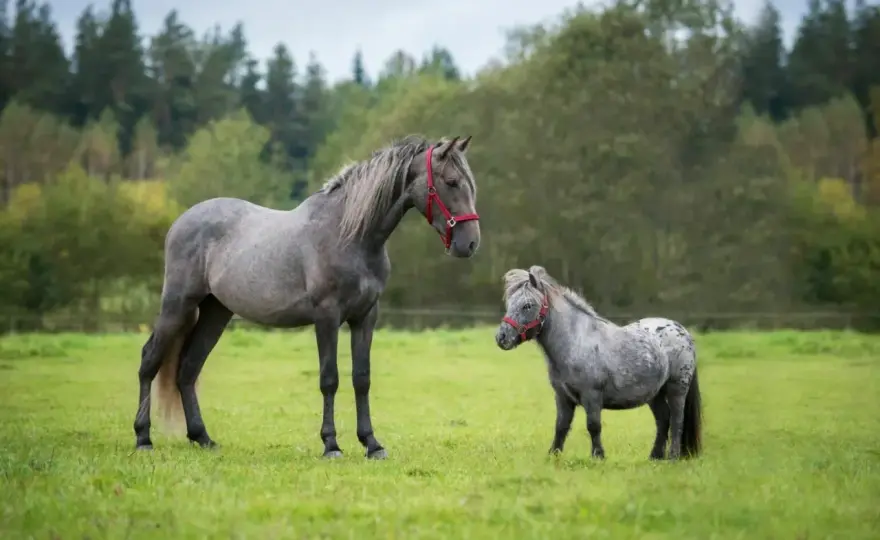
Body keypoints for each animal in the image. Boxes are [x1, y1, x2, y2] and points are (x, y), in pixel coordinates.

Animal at [133, 135, 481, 459]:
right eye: (451, 182)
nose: (470, 244)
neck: (350, 235)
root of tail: (182, 221)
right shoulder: (326, 316)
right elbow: (330, 378)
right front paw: (331, 445)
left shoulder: (365, 316)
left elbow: (361, 378)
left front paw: (371, 444)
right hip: (178, 304)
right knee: (150, 360)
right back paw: (143, 438)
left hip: (216, 311)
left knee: (189, 368)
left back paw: (202, 437)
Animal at [493, 266, 702, 461]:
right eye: (510, 303)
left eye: (528, 305)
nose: (501, 338)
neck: (575, 342)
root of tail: (682, 331)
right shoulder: (562, 397)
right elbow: (561, 427)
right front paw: (554, 455)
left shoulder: (591, 396)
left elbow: (593, 426)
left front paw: (598, 456)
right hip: (655, 394)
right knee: (663, 420)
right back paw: (655, 457)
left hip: (677, 389)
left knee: (677, 421)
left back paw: (673, 457)